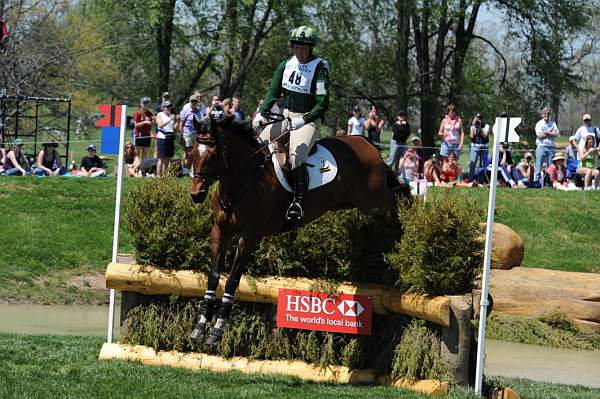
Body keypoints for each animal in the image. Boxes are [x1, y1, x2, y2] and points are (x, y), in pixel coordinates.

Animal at [190, 115, 410, 346]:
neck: (244, 180)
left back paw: (404, 231)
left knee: (400, 196)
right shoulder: (219, 232)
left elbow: (232, 280)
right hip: (354, 202)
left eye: (213, 154)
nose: (197, 194)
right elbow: (214, 276)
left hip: (374, 199)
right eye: (192, 152)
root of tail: (364, 142)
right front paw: (200, 327)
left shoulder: (249, 236)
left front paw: (216, 332)